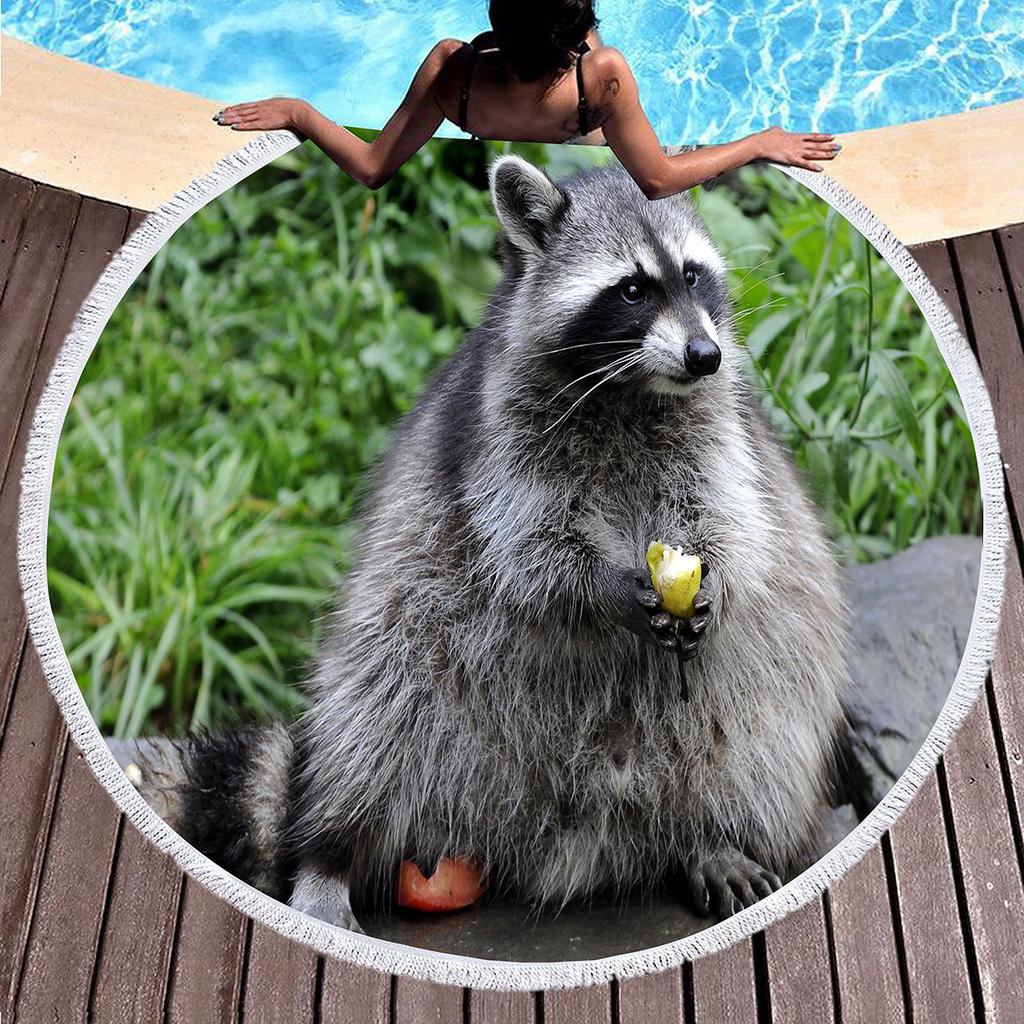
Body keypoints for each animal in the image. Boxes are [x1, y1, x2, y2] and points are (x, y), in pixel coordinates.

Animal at [149, 156, 848, 932]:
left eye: (694, 276)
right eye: (633, 288)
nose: (705, 354)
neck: (634, 386)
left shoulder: (721, 428)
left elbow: (736, 517)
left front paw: (716, 577)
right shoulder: (499, 430)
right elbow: (525, 549)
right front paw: (604, 586)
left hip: (751, 696)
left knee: (762, 724)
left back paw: (713, 835)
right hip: (411, 651)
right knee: (375, 713)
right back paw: (331, 853)